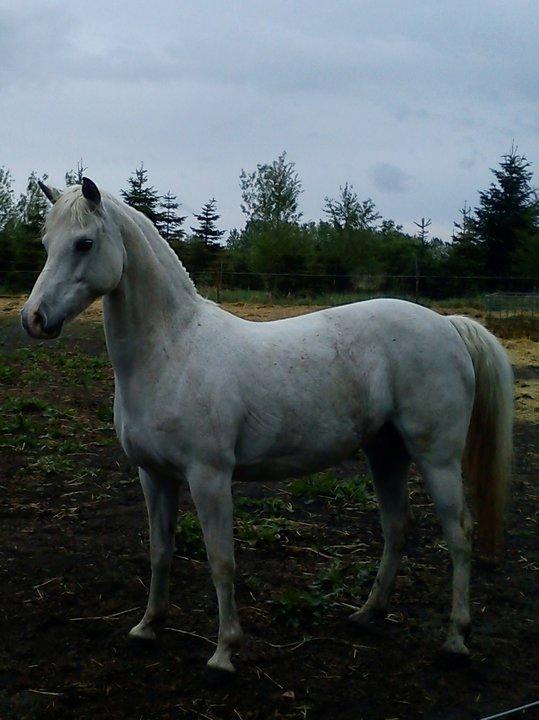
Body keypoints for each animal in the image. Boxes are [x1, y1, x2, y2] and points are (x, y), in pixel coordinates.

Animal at [21, 178, 513, 675]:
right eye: (45, 243)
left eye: (84, 243)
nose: (33, 319)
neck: (171, 351)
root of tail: (448, 325)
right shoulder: (153, 475)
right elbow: (160, 551)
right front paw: (148, 626)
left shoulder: (209, 478)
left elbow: (221, 561)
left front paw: (224, 651)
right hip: (385, 451)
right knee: (397, 527)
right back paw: (367, 613)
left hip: (438, 457)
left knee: (459, 534)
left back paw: (455, 637)